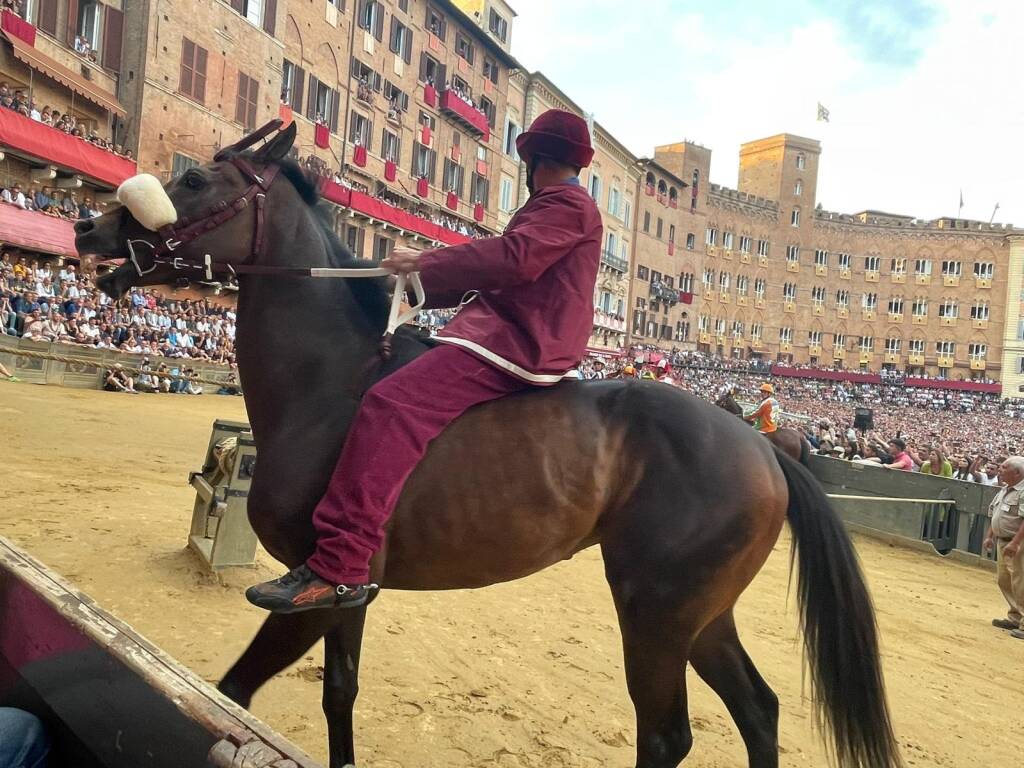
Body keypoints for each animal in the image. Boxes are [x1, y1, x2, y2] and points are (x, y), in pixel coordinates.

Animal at [75, 124, 901, 768]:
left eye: (193, 177)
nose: (87, 228)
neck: (333, 384)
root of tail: (766, 448)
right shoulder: (347, 595)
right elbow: (339, 694)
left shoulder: (312, 594)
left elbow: (233, 691)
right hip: (702, 615)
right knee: (758, 711)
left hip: (658, 615)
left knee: (668, 736)